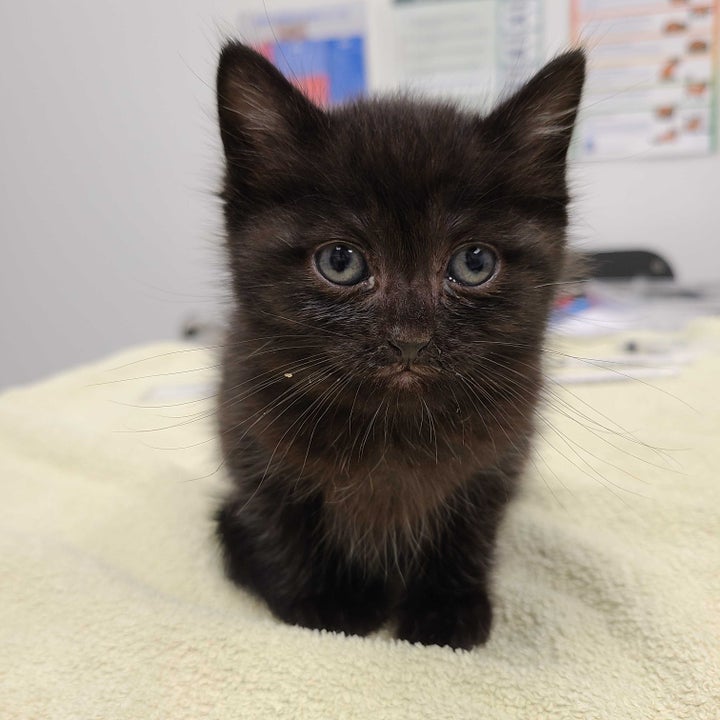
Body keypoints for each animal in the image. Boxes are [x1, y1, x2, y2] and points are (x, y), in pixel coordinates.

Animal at [215, 42, 584, 648]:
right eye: (340, 261)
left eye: (474, 262)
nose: (410, 340)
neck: (393, 425)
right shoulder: (250, 438)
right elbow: (281, 522)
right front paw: (328, 602)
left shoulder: (495, 462)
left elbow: (467, 531)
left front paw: (446, 611)